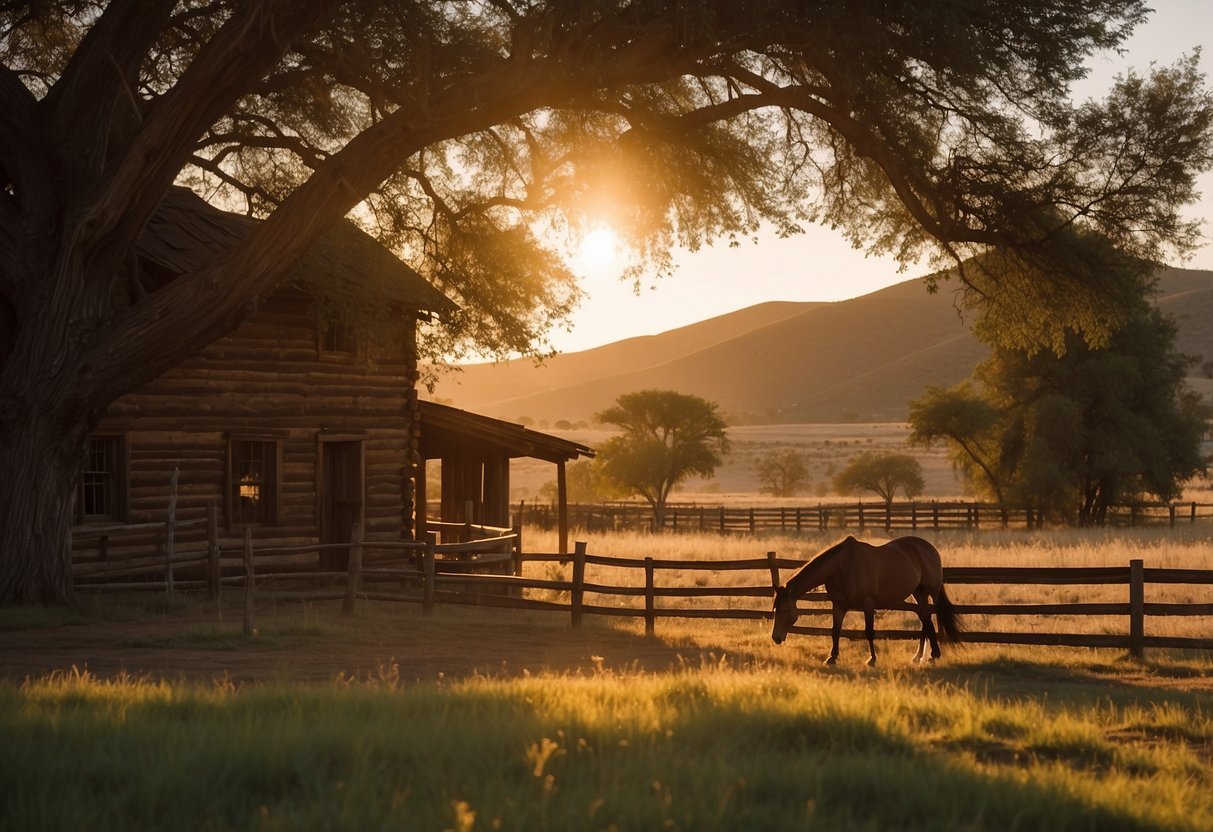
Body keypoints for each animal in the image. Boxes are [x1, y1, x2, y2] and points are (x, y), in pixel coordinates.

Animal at [771, 538, 960, 669]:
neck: (842, 567)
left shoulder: (868, 605)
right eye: (775, 609)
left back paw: (934, 654)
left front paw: (872, 659)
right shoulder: (839, 605)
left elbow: (869, 632)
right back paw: (919, 656)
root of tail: (929, 548)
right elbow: (835, 631)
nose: (776, 638)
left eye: (785, 610)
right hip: (918, 593)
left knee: (932, 620)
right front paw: (832, 657)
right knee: (925, 621)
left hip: (932, 593)